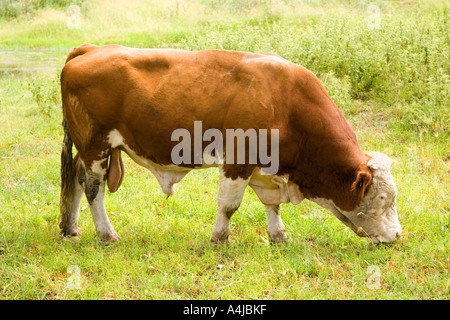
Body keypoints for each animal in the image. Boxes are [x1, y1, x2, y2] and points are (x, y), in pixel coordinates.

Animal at [59, 45, 400, 244]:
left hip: (86, 148)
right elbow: (229, 205)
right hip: (95, 145)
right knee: (93, 188)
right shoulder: (239, 159)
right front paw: (220, 238)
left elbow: (271, 204)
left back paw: (70, 228)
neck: (286, 102)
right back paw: (107, 234)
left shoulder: (267, 169)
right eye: (383, 198)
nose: (398, 234)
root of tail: (91, 49)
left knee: (75, 178)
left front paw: (278, 235)